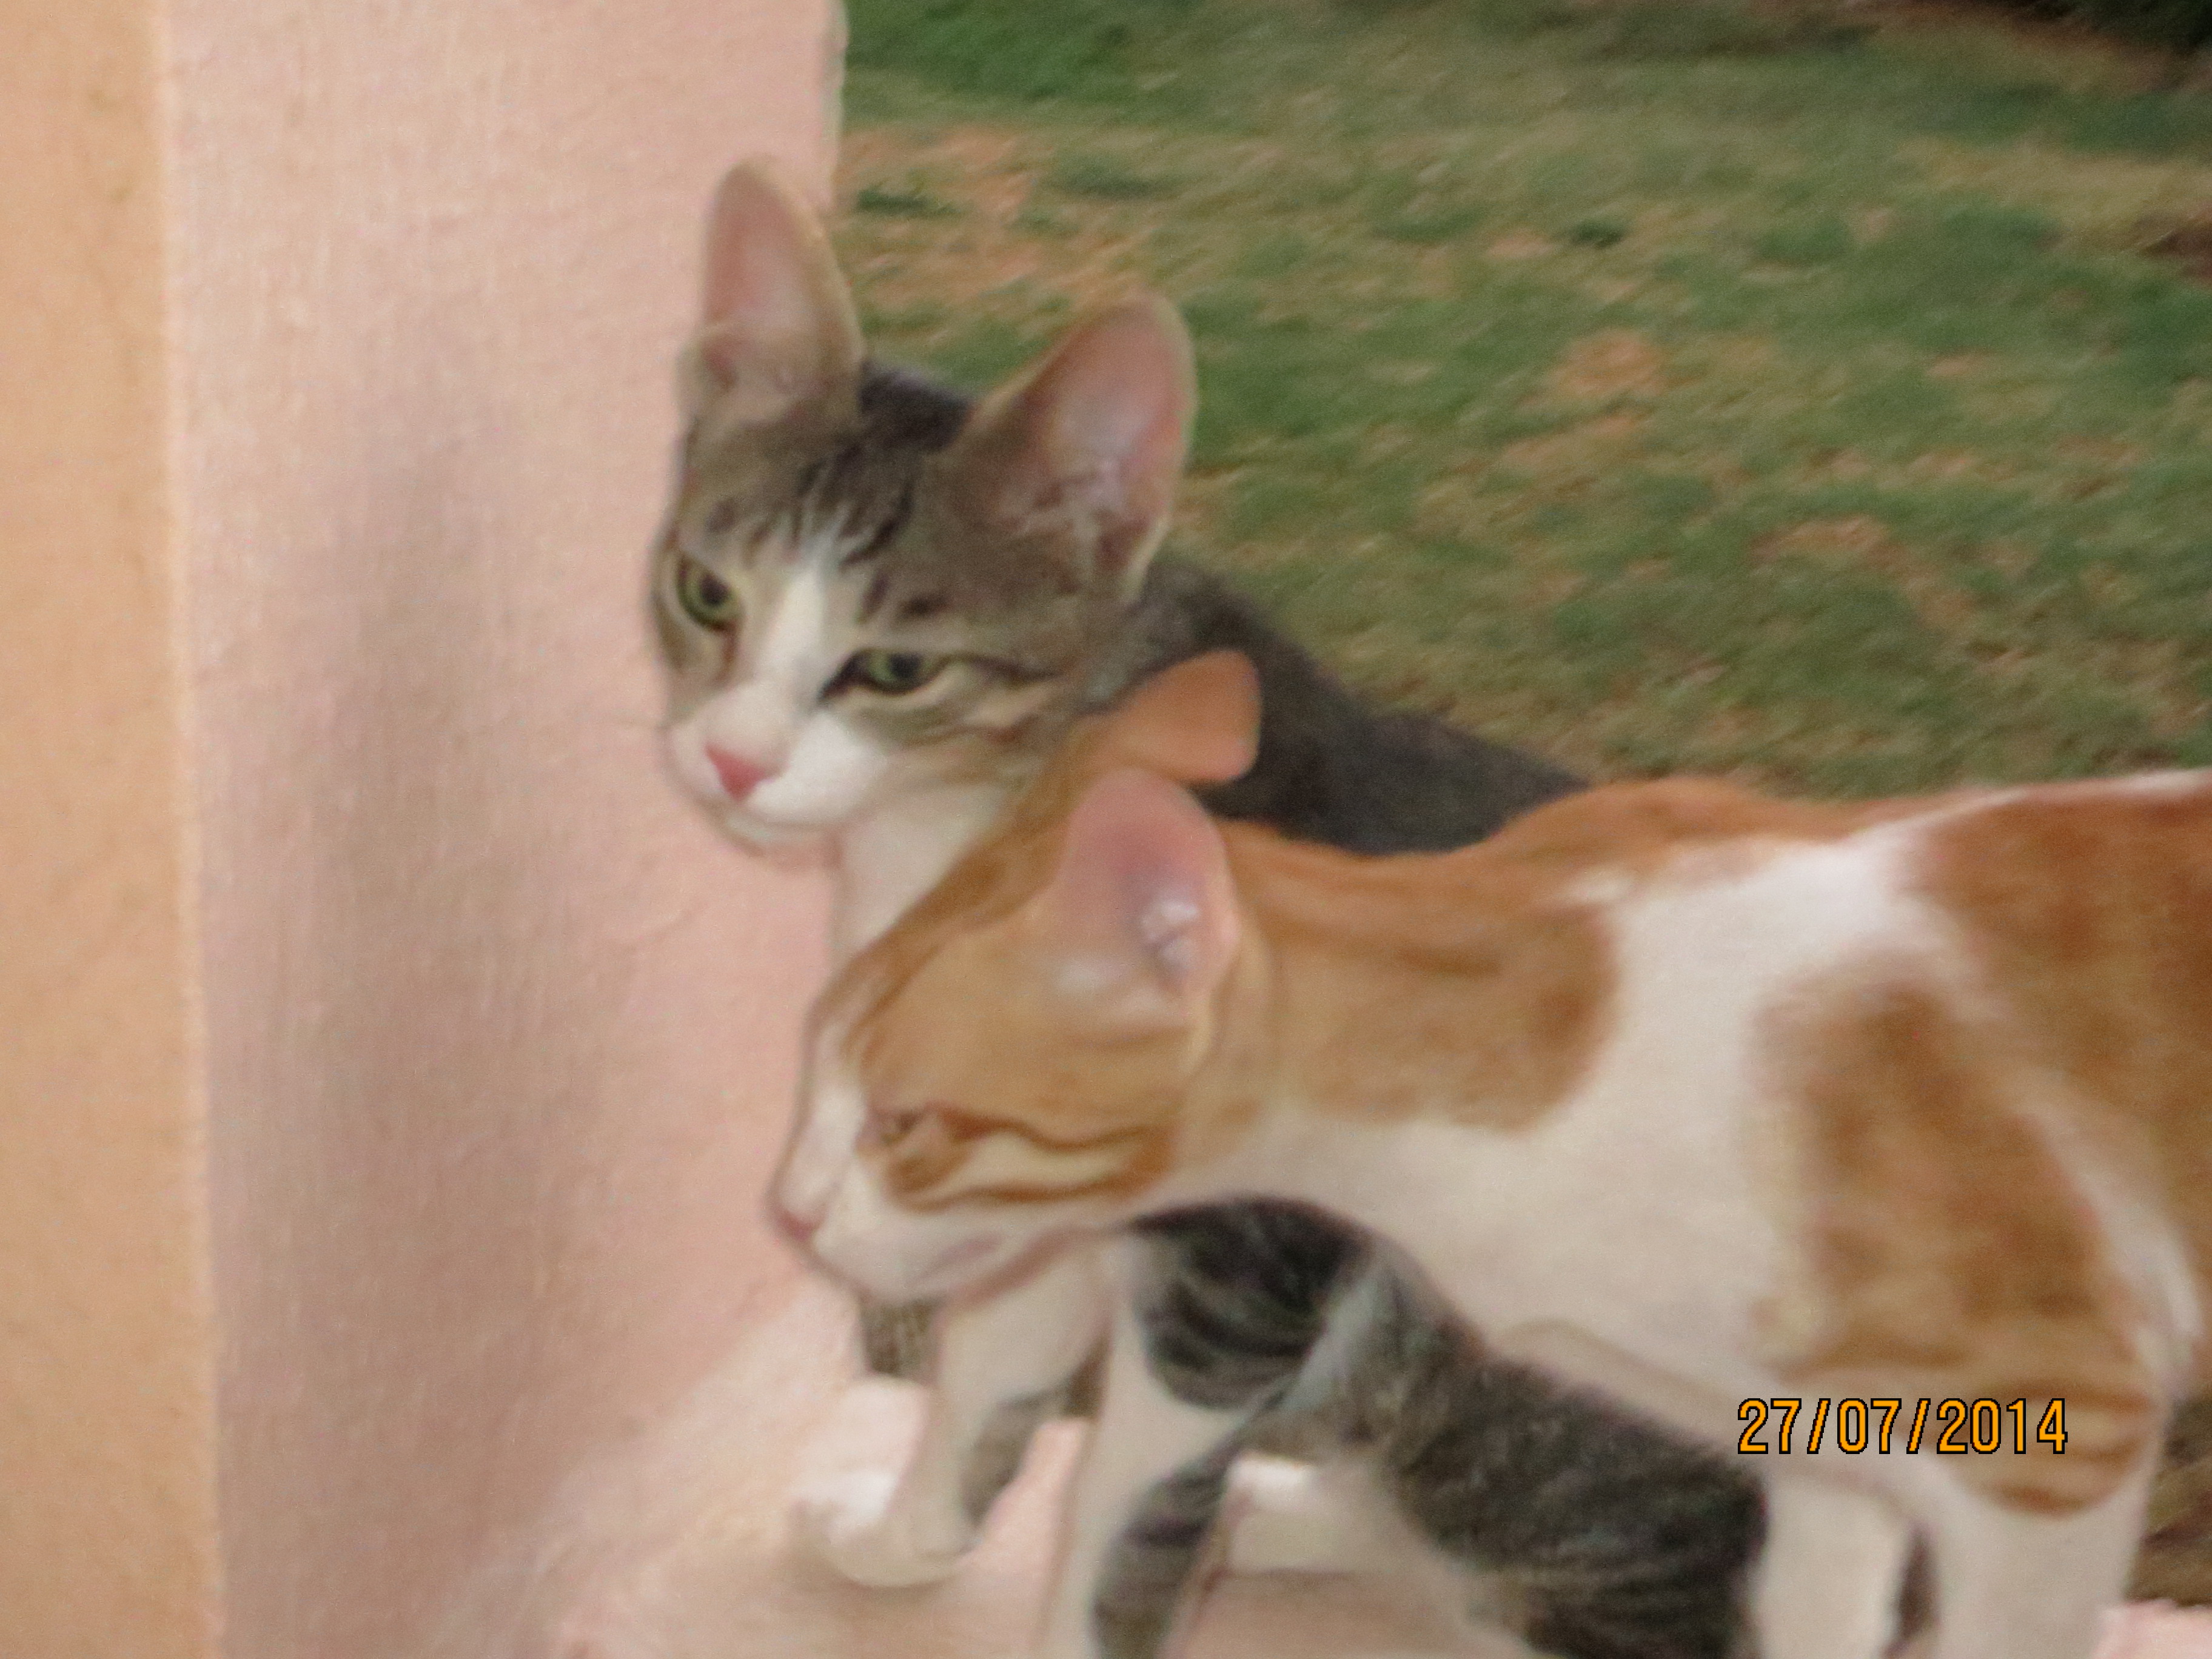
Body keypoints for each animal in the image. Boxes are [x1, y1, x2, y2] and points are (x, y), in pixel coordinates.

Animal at [652, 158, 1766, 1655]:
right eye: (704, 592)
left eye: (892, 668)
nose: (730, 760)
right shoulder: (1030, 1192)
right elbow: (985, 1386)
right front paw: (900, 1543)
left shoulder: (1234, 1288)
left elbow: (1121, 1532)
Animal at [773, 642, 2212, 1659]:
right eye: (816, 1077)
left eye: (902, 1123)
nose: (786, 1214)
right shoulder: (1823, 1454)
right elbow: (979, 1403)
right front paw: (892, 1540)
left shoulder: (2054, 1437)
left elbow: (1113, 1535)